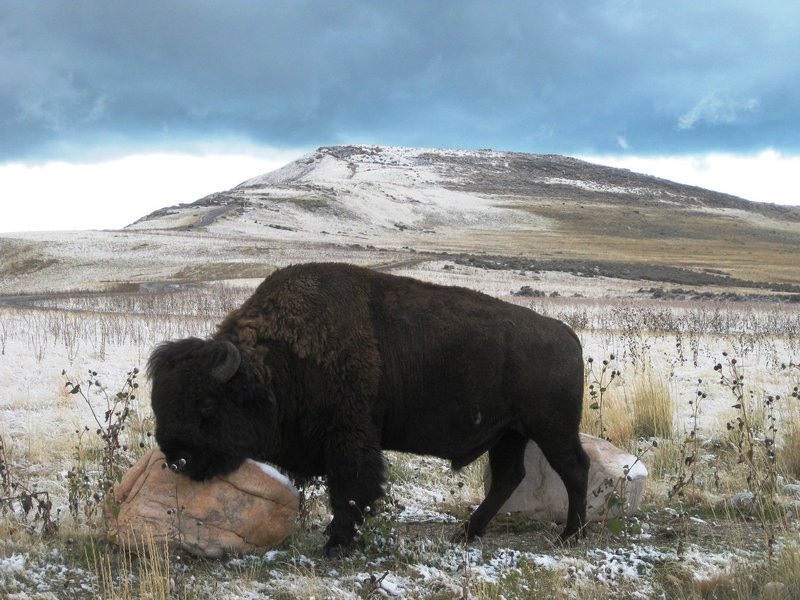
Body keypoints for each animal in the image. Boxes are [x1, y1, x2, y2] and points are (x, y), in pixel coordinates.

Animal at [147, 264, 592, 556]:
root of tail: (567, 335)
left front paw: (335, 544)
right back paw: (465, 534)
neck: (275, 364)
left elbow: (351, 490)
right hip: (509, 434)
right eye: (160, 403)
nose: (177, 458)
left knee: (574, 469)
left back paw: (570, 536)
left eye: (206, 404)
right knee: (507, 478)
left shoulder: (349, 438)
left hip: (551, 429)